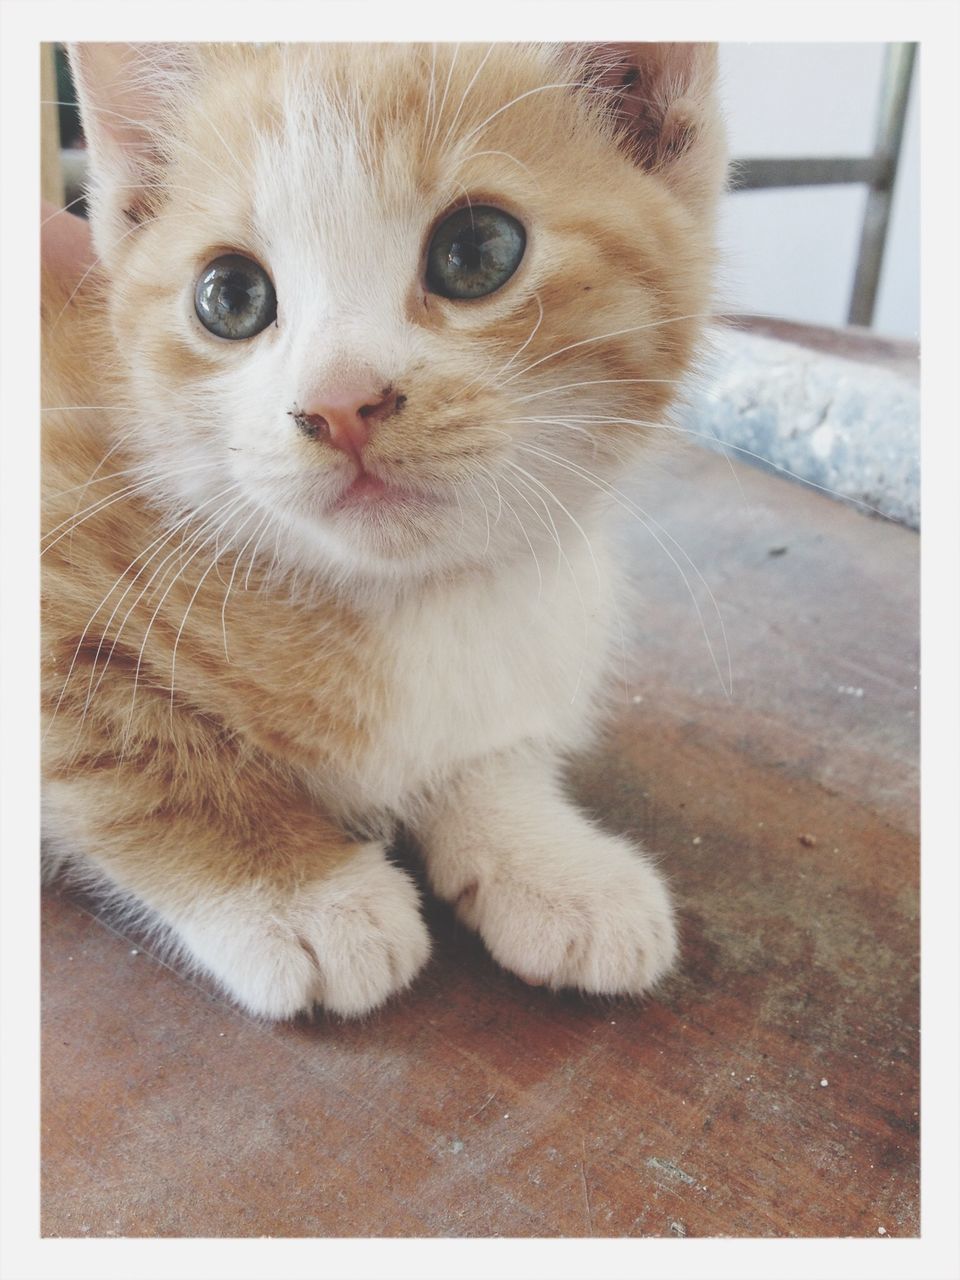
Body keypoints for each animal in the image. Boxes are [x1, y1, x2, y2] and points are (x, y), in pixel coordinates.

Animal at [41, 42, 727, 1018]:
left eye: (477, 251)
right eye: (230, 295)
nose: (339, 401)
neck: (400, 596)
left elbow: (486, 752)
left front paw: (550, 859)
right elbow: (129, 750)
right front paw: (299, 895)